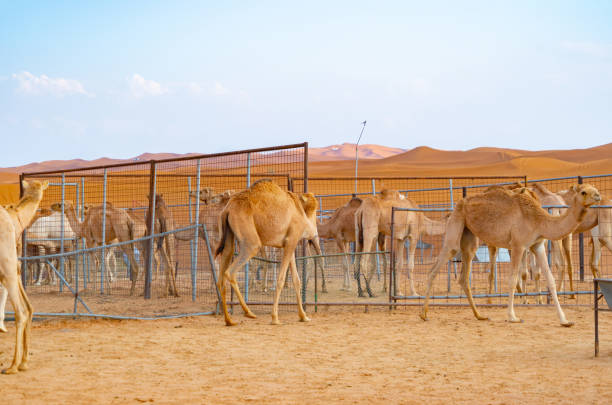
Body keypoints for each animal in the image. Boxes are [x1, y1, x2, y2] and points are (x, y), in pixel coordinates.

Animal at [214, 180, 322, 326]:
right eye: (314, 211)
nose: (314, 236)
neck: (300, 211)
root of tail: (227, 209)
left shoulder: (290, 243)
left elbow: (296, 280)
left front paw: (303, 316)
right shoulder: (291, 240)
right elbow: (281, 280)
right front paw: (275, 318)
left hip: (229, 236)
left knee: (222, 273)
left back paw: (229, 320)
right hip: (251, 243)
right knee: (230, 272)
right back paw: (249, 313)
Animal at [418, 183, 600, 326]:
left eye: (595, 189)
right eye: (583, 192)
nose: (598, 196)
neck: (538, 219)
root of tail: (458, 204)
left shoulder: (538, 245)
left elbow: (550, 280)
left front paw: (564, 320)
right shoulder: (518, 245)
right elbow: (512, 280)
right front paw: (513, 317)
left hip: (469, 236)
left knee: (464, 275)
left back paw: (479, 315)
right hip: (456, 224)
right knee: (438, 265)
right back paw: (423, 314)